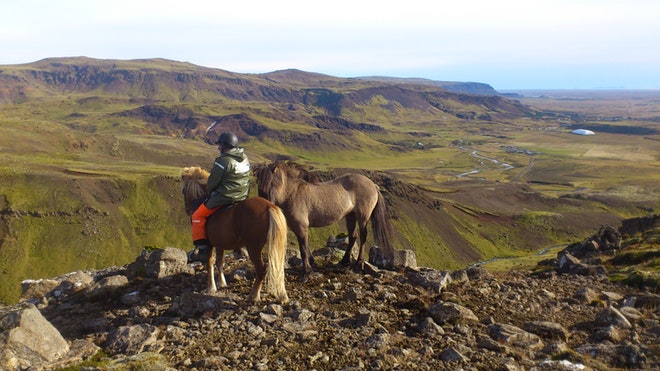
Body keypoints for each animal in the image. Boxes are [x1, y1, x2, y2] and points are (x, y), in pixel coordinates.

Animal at [179, 167, 288, 304]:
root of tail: (269, 206)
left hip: (253, 247)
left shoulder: (209, 245)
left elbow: (209, 263)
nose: (187, 210)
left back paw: (253, 296)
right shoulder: (219, 245)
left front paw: (211, 287)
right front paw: (221, 283)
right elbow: (219, 262)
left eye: (183, 190)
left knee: (261, 270)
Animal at [255, 161, 394, 274]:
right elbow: (305, 246)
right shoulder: (297, 228)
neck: (292, 193)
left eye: (271, 183)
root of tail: (373, 185)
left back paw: (359, 263)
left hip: (363, 217)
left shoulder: (301, 226)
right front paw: (311, 262)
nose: (263, 206)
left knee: (363, 236)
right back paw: (344, 261)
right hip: (351, 216)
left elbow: (303, 249)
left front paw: (307, 270)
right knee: (353, 236)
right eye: (258, 184)